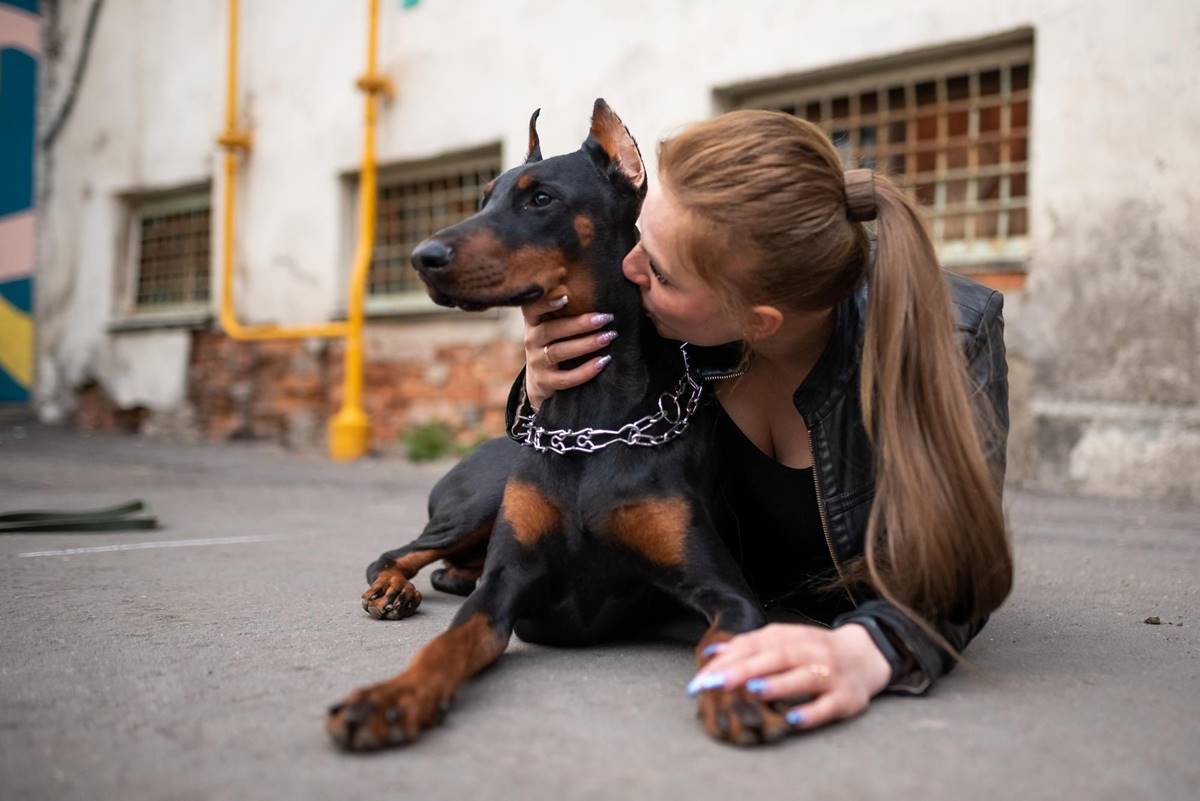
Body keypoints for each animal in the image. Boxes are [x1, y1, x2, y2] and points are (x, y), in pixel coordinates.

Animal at [324, 100, 792, 753]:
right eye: (485, 197)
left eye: (540, 198)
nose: (422, 258)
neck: (589, 422)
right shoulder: (505, 587)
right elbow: (448, 644)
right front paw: (389, 699)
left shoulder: (726, 590)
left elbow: (726, 638)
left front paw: (734, 692)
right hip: (475, 505)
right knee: (400, 552)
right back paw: (397, 588)